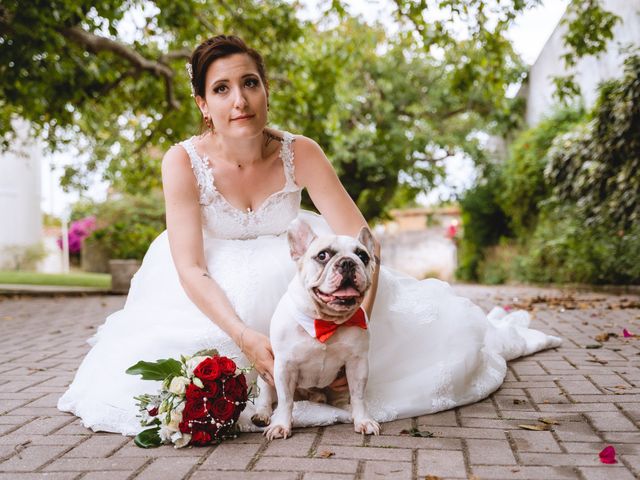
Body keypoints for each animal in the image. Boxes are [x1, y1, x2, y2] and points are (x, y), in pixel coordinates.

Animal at [251, 219, 380, 440]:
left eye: (362, 256)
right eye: (322, 256)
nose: (348, 262)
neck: (326, 321)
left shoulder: (358, 362)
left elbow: (358, 395)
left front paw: (363, 420)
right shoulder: (284, 365)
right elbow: (285, 400)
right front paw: (281, 425)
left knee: (341, 398)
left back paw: (343, 409)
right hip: (266, 373)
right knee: (267, 395)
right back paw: (262, 414)